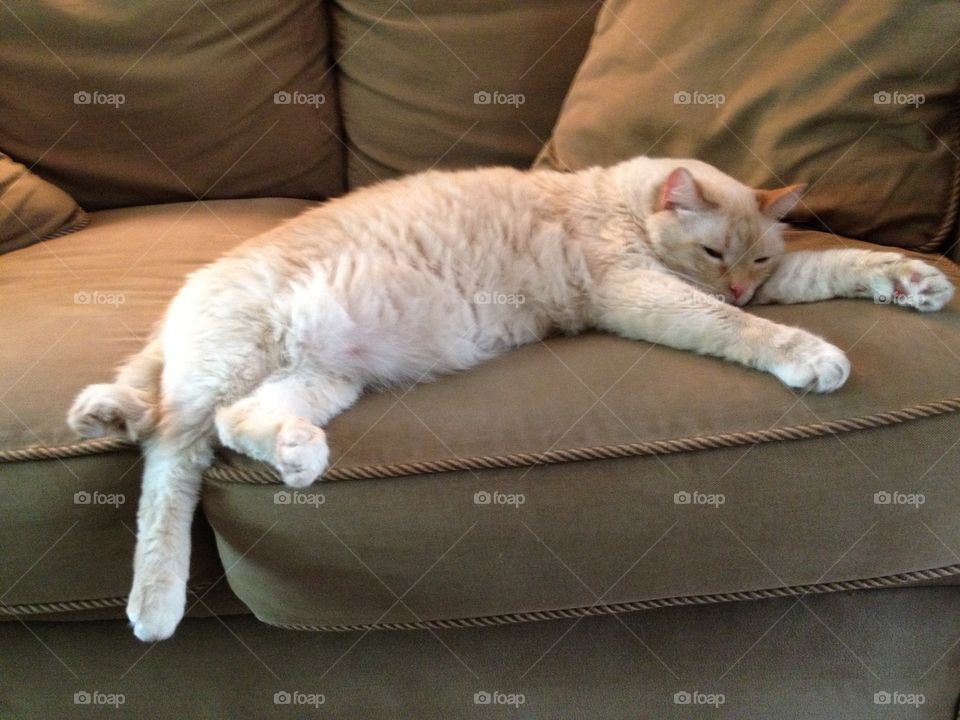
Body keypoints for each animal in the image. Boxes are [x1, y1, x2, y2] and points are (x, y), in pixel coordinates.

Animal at [65, 155, 952, 640]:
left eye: (757, 260)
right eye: (711, 253)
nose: (738, 285)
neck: (612, 200)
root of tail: (190, 292)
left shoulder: (768, 282)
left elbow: (833, 265)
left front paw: (914, 281)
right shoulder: (647, 293)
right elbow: (746, 330)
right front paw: (810, 353)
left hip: (322, 376)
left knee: (232, 421)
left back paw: (296, 456)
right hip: (234, 364)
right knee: (170, 457)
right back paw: (155, 603)